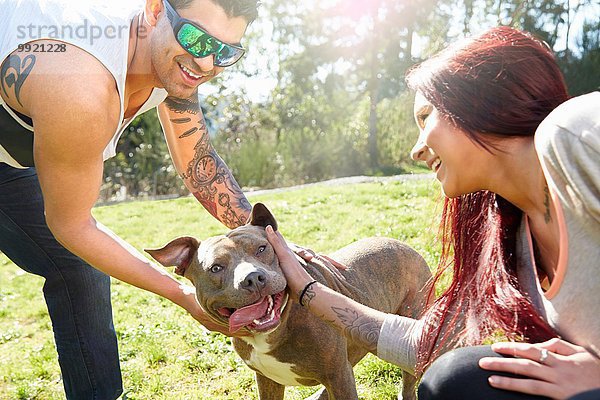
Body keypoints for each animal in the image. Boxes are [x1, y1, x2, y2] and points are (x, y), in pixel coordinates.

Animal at [148, 205, 434, 398]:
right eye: (216, 268)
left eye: (262, 249)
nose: (253, 278)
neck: (271, 333)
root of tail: (404, 245)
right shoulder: (267, 380)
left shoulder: (338, 376)